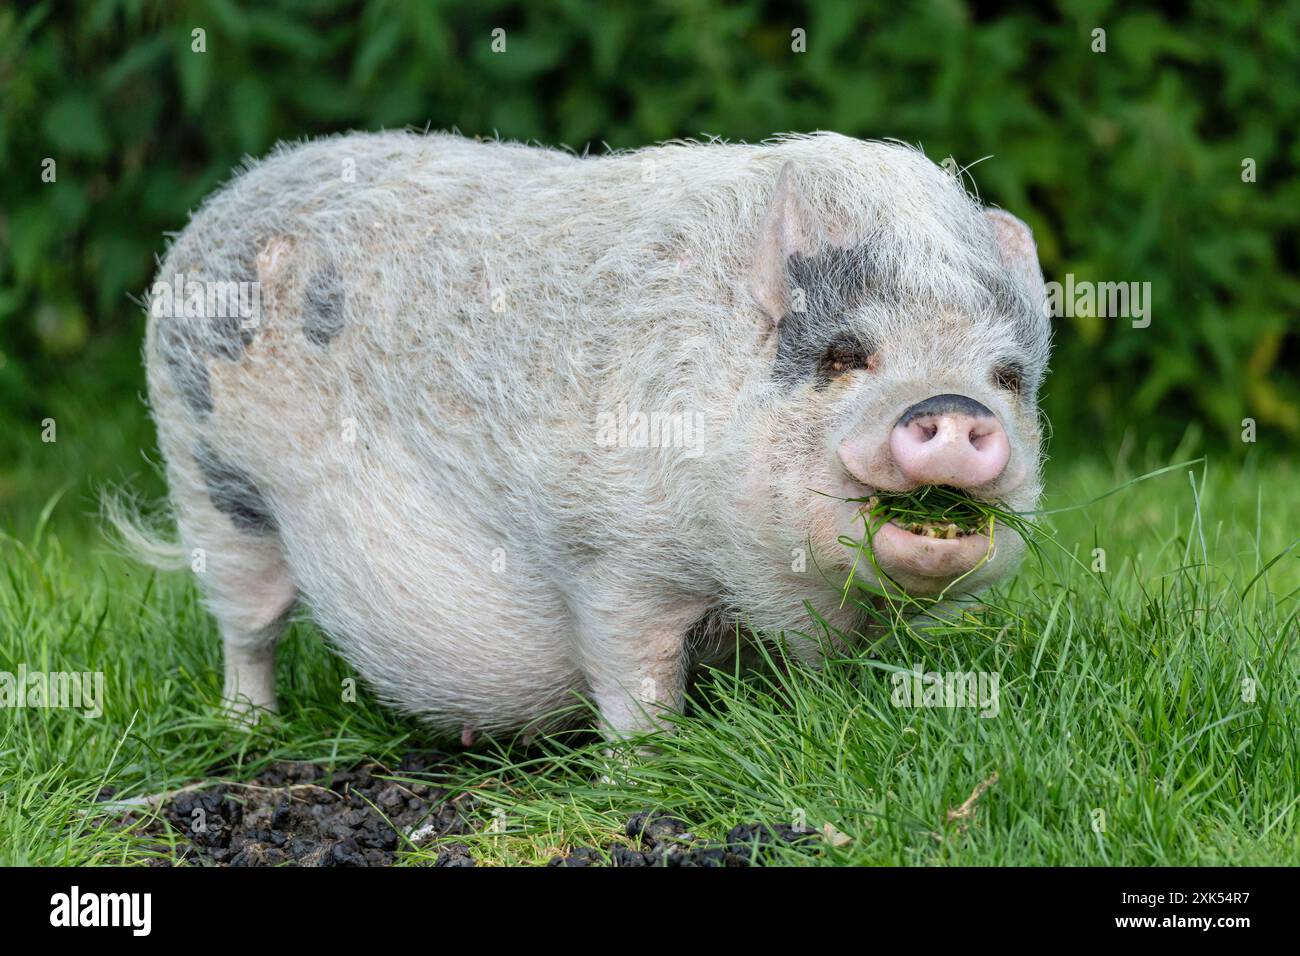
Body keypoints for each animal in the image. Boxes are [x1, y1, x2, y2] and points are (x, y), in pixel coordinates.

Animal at [106, 128, 1050, 738]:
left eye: (1007, 377)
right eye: (845, 355)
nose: (953, 408)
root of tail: (224, 201)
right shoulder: (612, 559)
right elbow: (637, 681)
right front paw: (645, 767)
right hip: (209, 480)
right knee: (249, 623)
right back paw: (248, 730)